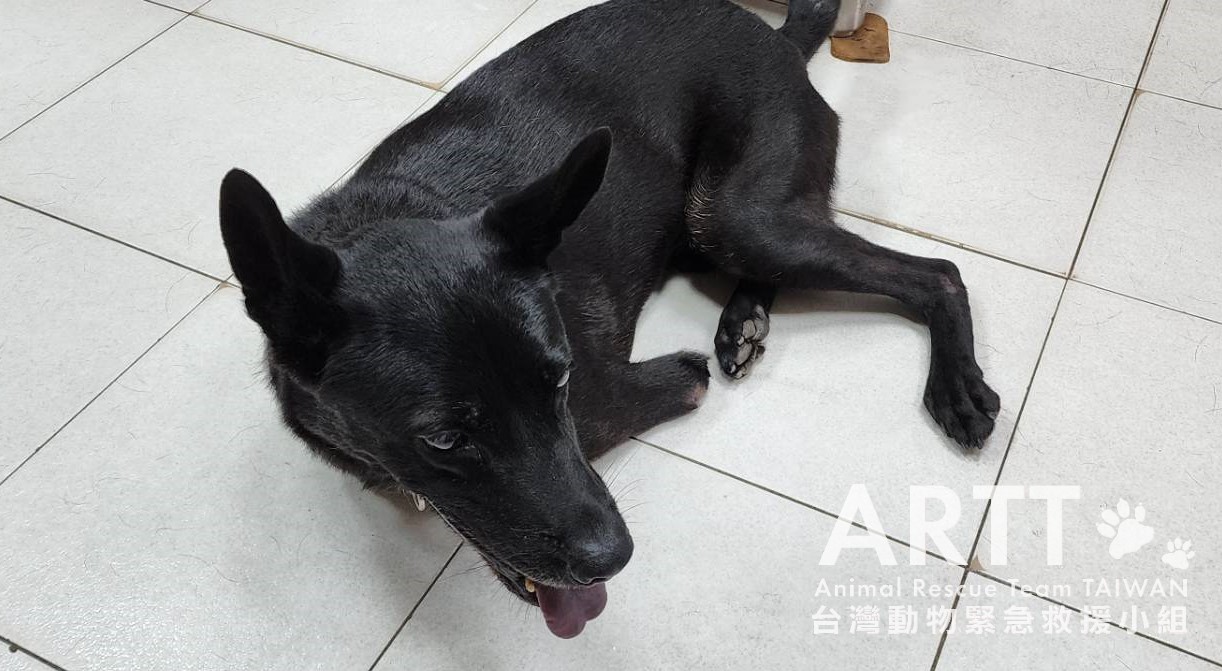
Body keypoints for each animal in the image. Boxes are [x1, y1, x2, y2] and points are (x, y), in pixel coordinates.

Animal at [218, 0, 999, 639]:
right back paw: (745, 321)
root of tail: (773, 35)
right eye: (442, 438)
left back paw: (954, 386)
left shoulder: (622, 400)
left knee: (937, 273)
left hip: (736, 214)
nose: (616, 558)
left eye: (561, 383)